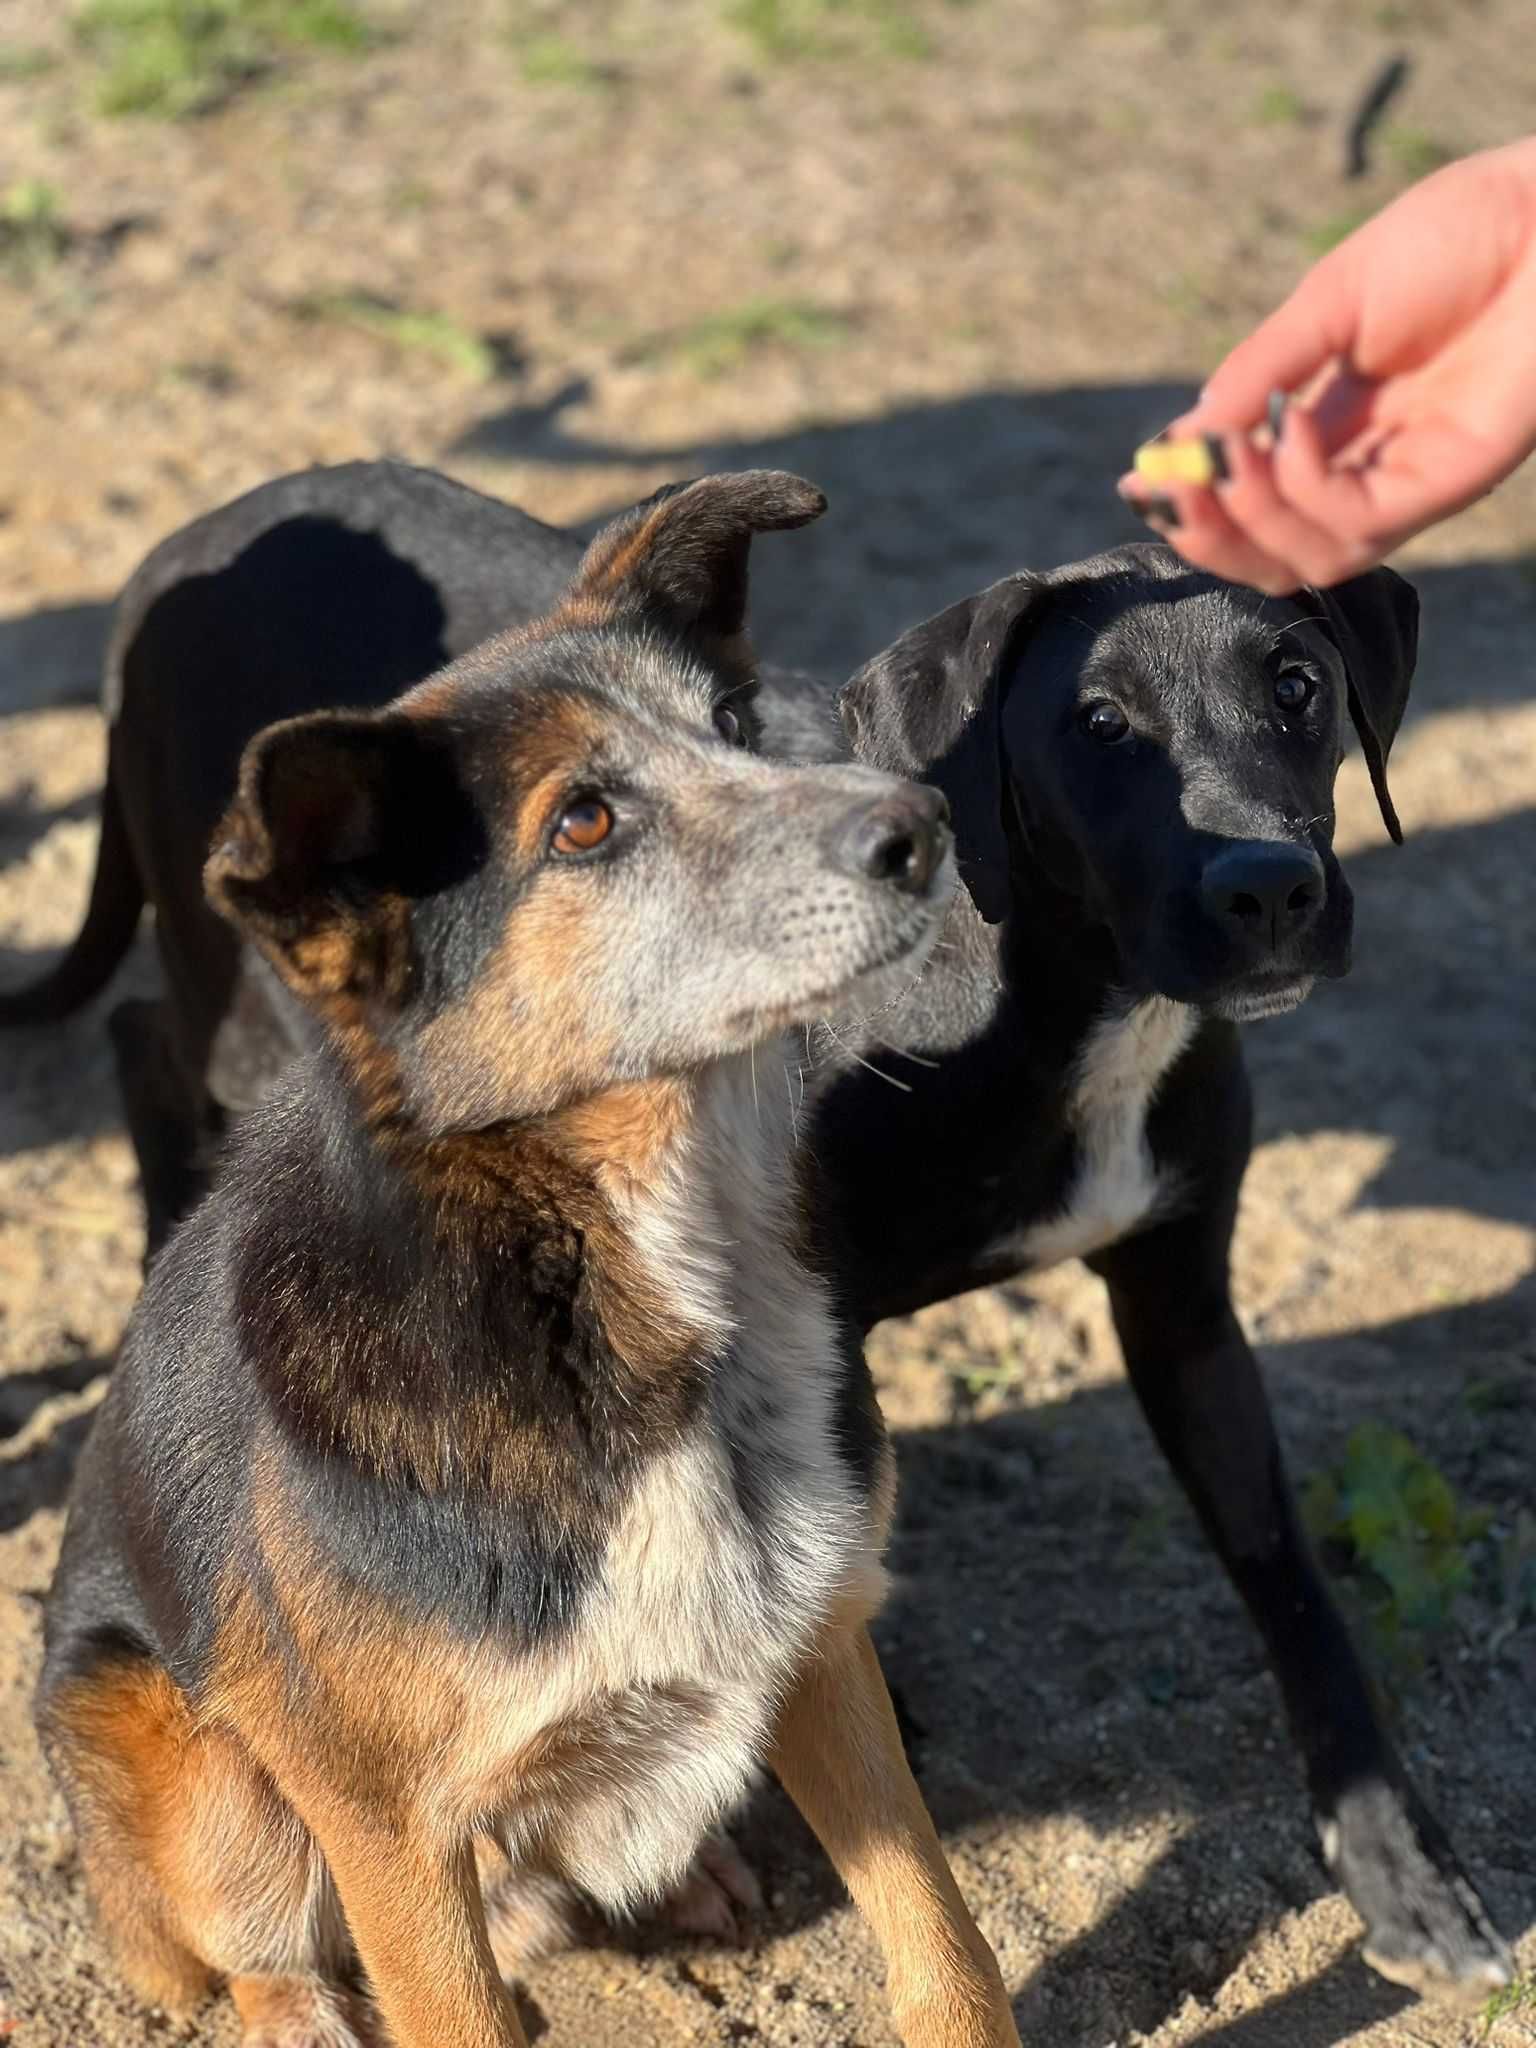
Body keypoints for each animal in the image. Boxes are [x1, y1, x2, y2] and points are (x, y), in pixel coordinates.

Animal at [3, 464, 1515, 1998]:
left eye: (1298, 684)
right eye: (1099, 725)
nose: (1269, 889)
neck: (1050, 990)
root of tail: (191, 540)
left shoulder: (1183, 1303)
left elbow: (1291, 1581)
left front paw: (1401, 1868)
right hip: (250, 995)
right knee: (146, 1040)